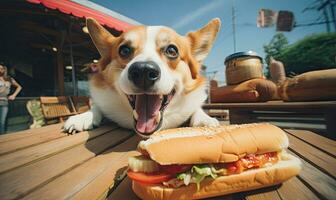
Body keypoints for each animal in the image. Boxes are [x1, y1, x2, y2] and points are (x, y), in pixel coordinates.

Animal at [63, 17, 220, 138]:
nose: (143, 71)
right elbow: (96, 106)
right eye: (124, 50)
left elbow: (196, 109)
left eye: (171, 50)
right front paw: (83, 117)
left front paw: (205, 119)